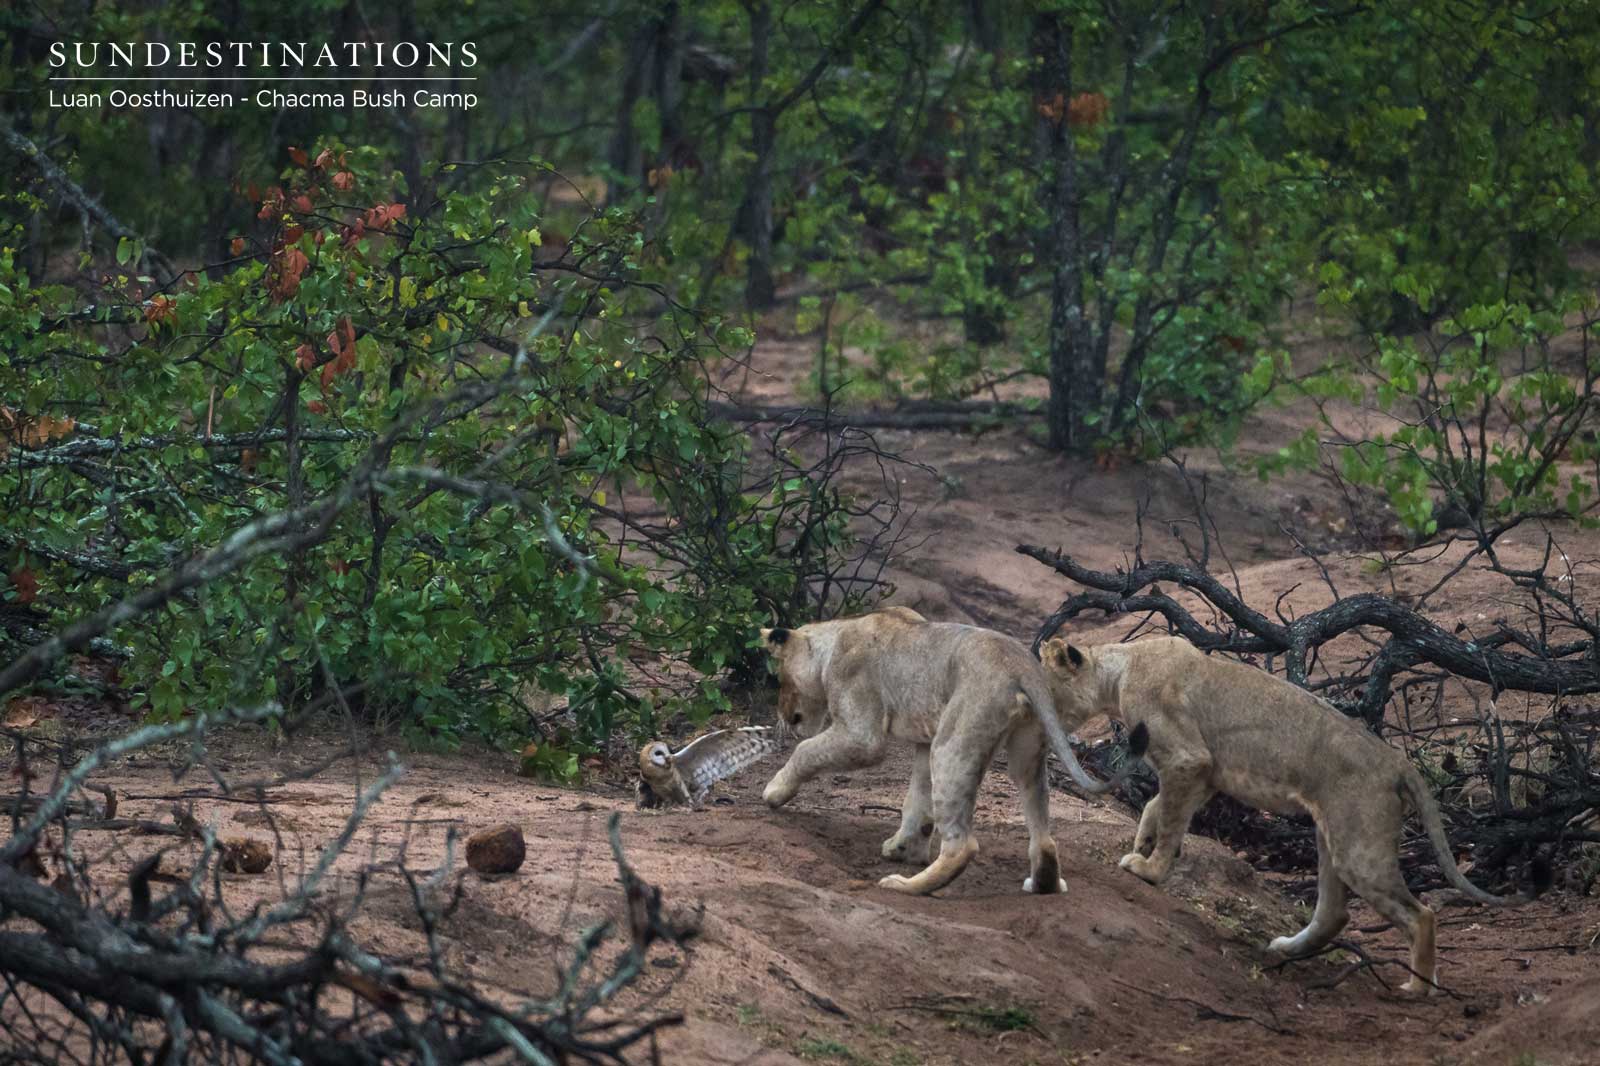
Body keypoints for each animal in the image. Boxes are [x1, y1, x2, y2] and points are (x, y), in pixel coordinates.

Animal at [759, 608, 1146, 896]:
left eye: (780, 677)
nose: (782, 714)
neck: (836, 636)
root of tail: (1020, 663)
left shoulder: (863, 734)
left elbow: (807, 750)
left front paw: (774, 791)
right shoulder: (924, 739)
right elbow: (917, 800)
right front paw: (903, 848)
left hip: (953, 743)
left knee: (963, 844)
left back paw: (906, 886)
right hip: (1025, 751)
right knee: (1044, 835)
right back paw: (1044, 883)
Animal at [1038, 634, 1542, 993]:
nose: (1039, 724)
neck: (1119, 669)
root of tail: (1398, 761)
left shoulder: (1188, 759)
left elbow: (1170, 822)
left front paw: (1150, 869)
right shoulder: (1204, 773)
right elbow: (1156, 806)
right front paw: (1142, 840)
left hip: (1358, 849)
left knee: (1420, 915)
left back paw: (1417, 988)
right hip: (1332, 837)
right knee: (1334, 913)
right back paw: (1285, 949)